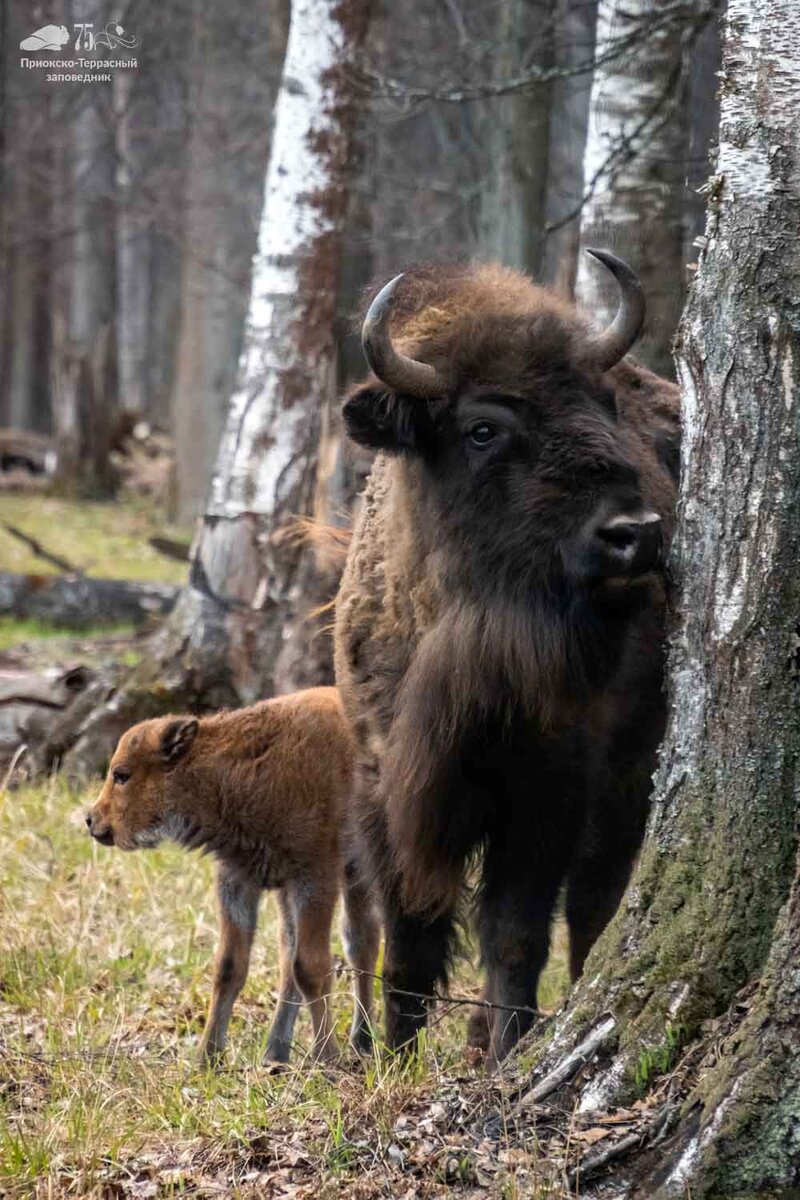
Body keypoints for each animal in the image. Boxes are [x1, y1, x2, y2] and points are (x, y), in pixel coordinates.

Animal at [86, 691, 381, 1065]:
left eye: (122, 775)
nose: (92, 820)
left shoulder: (315, 878)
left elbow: (312, 967)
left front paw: (326, 1057)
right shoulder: (239, 881)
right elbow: (230, 967)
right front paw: (206, 1057)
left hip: (356, 874)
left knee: (361, 944)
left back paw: (361, 1042)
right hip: (288, 894)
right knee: (289, 957)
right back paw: (275, 1054)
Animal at [335, 250, 681, 1060]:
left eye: (605, 405)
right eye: (483, 428)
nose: (636, 534)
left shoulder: (547, 791)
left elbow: (515, 933)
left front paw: (506, 1051)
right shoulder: (385, 783)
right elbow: (409, 937)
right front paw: (393, 1057)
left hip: (626, 783)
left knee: (593, 912)